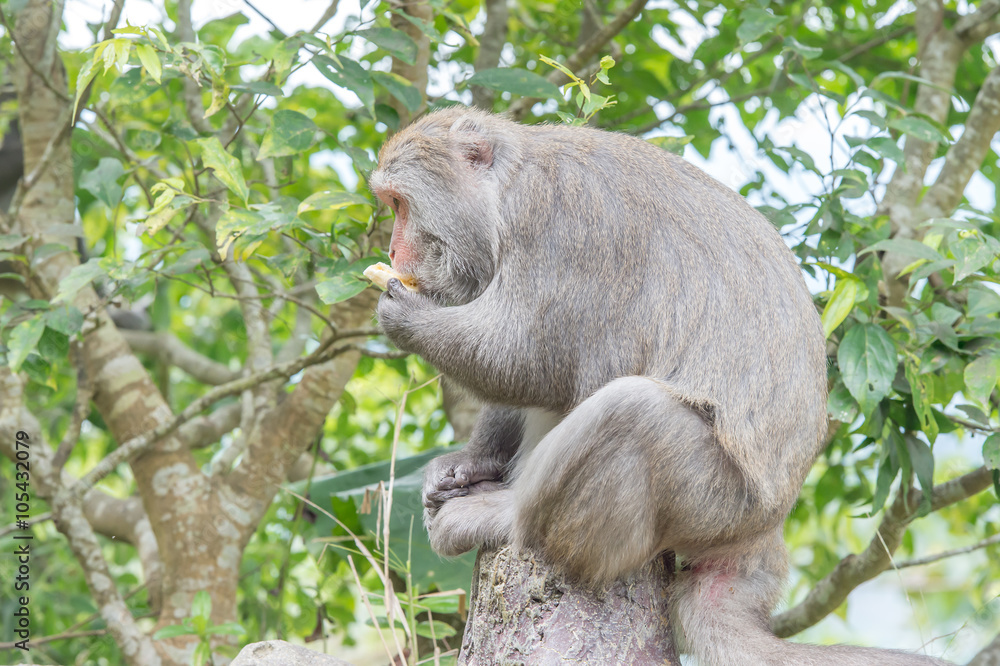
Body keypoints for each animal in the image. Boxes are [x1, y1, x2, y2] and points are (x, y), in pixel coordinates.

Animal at [370, 106, 952, 660]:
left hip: (713, 500)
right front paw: (472, 462)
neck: (510, 187)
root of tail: (768, 529)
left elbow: (532, 359)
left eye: (400, 205)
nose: (394, 255)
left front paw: (407, 313)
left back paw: (505, 518)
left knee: (630, 410)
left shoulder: (566, 224)